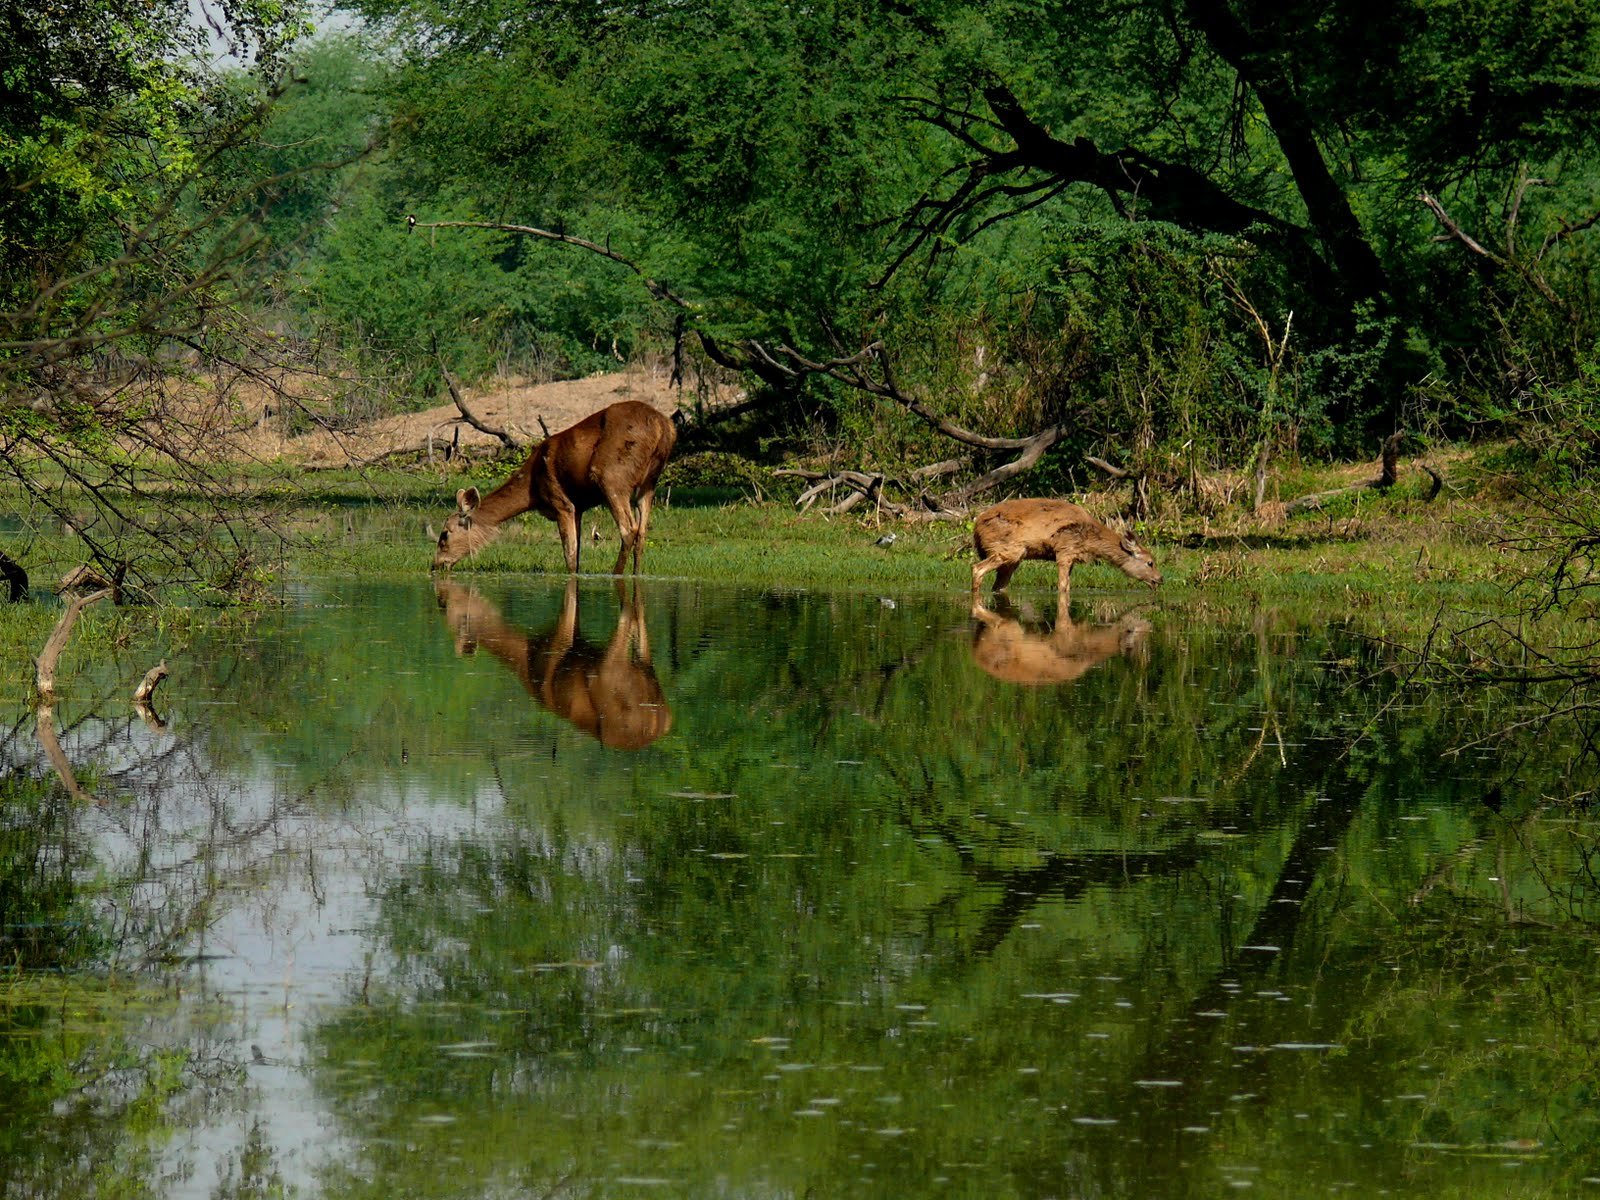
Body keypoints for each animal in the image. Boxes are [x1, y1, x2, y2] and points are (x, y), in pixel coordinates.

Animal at [428, 579, 672, 752]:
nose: (436, 565)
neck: (526, 655)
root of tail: (659, 722)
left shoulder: (559, 642)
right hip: (647, 672)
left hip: (611, 668)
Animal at [432, 400, 675, 579]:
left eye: (445, 534)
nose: (435, 565)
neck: (532, 491)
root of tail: (663, 426)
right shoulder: (579, 507)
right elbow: (577, 554)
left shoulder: (561, 502)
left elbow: (570, 556)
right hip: (649, 482)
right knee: (642, 531)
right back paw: (636, 574)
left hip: (612, 477)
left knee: (628, 529)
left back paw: (615, 574)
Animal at [966, 499, 1158, 611]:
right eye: (1150, 562)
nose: (1159, 579)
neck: (1090, 540)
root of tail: (976, 528)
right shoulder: (1065, 551)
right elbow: (1063, 587)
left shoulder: (1072, 557)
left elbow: (1067, 586)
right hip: (1009, 550)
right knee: (977, 568)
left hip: (1013, 559)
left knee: (999, 586)